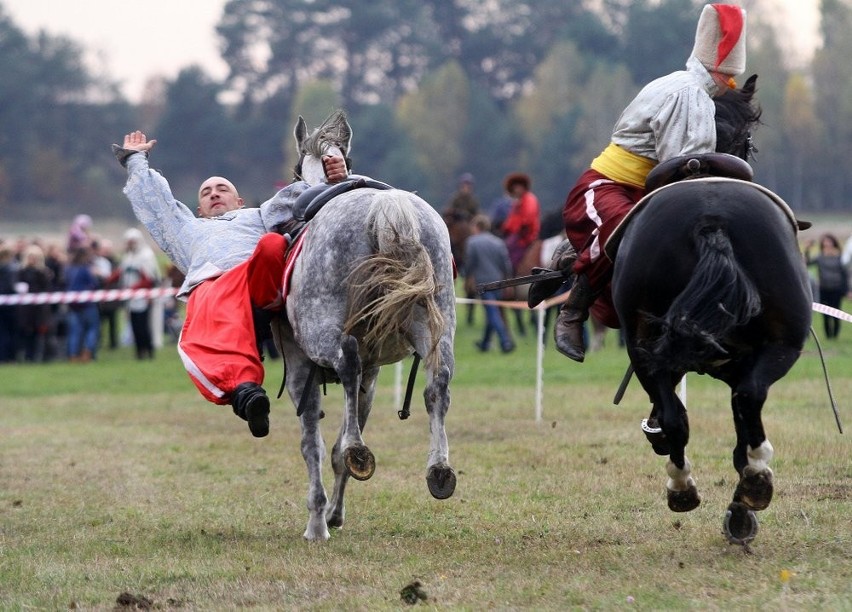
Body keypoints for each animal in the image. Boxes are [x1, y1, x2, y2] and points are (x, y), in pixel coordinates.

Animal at [276, 111, 456, 540]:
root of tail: (387, 208)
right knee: (437, 384)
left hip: (324, 338)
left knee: (348, 362)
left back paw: (360, 453)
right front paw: (334, 514)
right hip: (437, 330)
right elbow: (339, 437)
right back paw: (439, 469)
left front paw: (318, 521)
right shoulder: (374, 374)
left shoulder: (300, 366)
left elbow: (313, 444)